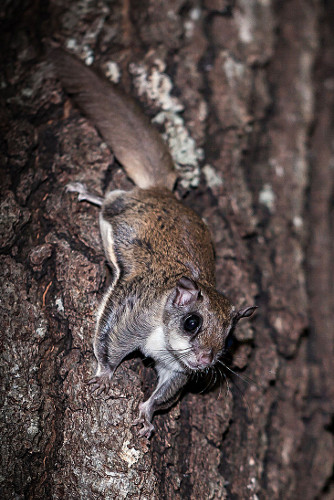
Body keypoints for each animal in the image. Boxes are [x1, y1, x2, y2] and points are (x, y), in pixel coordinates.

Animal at [52, 47, 258, 438]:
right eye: (192, 323)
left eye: (228, 339)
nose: (206, 360)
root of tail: (164, 191)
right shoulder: (134, 312)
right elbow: (109, 342)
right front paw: (105, 375)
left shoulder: (177, 369)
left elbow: (165, 393)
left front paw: (147, 416)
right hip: (124, 207)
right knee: (111, 199)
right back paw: (89, 192)